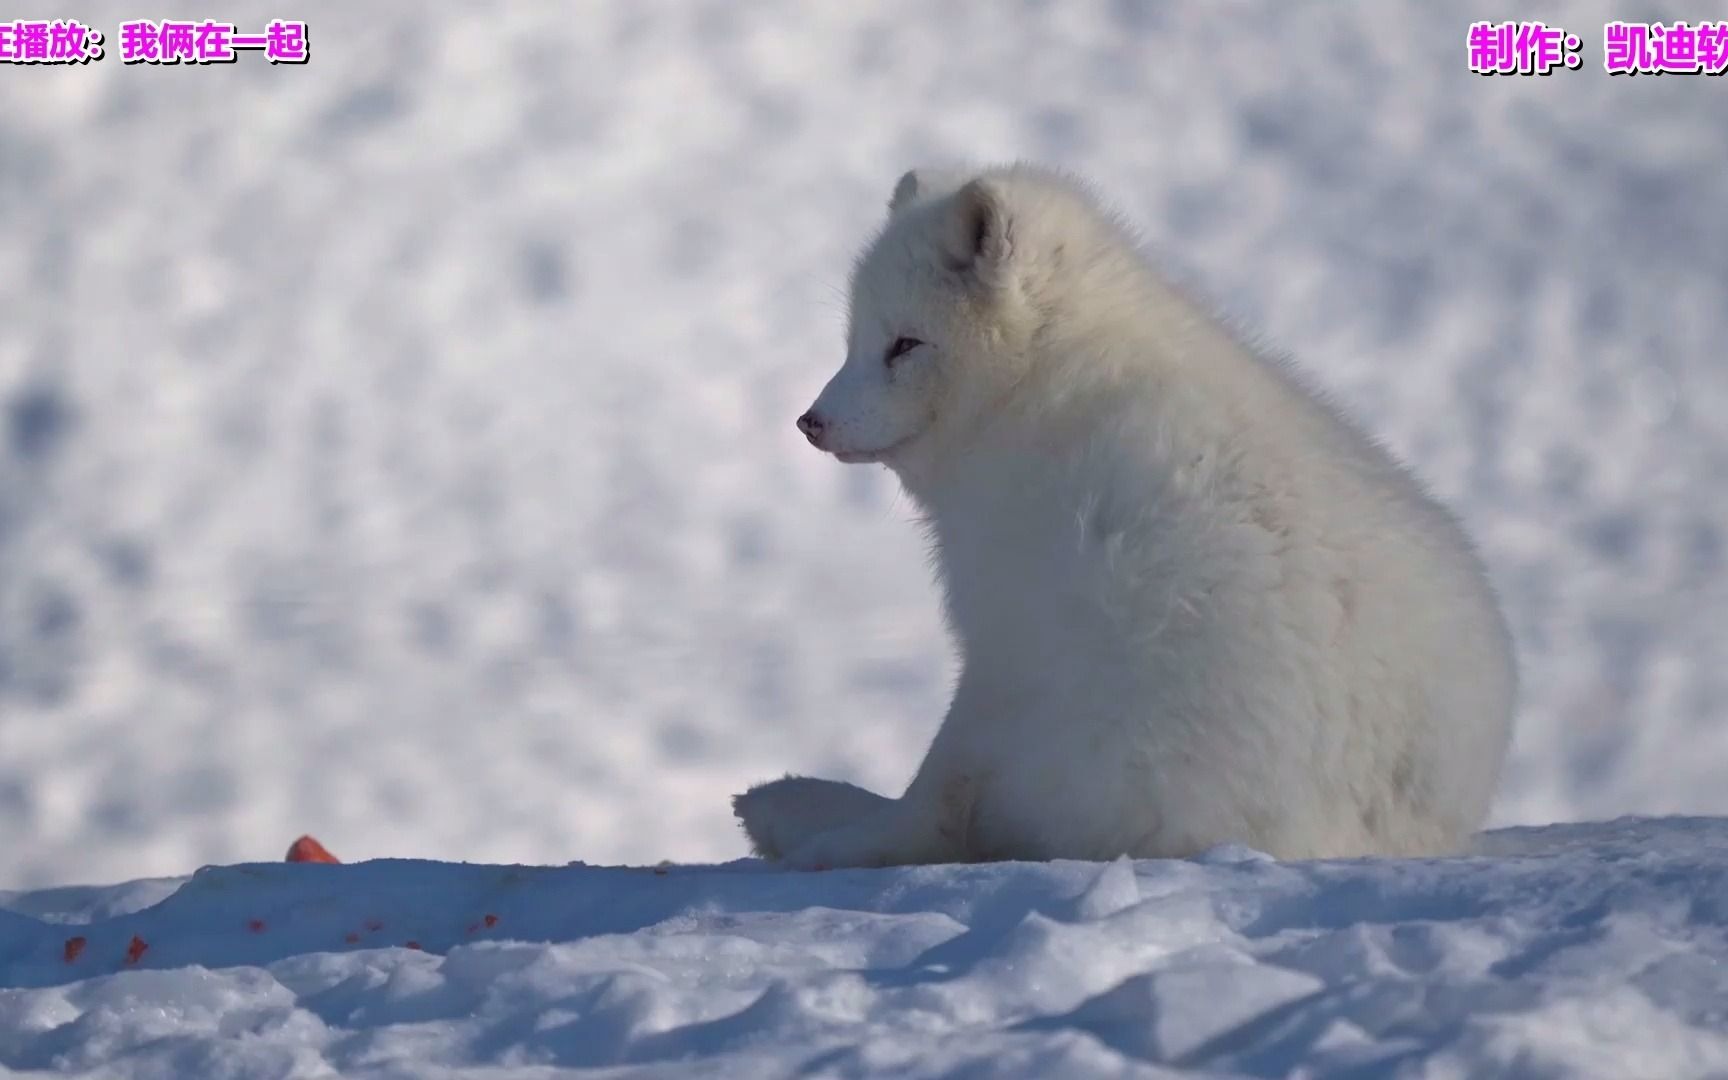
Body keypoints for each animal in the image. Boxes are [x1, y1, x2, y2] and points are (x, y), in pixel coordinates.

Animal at [736, 164, 1520, 867]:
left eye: (905, 344)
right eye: (855, 342)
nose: (810, 422)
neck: (1044, 382)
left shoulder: (1006, 636)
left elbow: (935, 791)